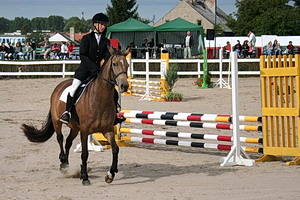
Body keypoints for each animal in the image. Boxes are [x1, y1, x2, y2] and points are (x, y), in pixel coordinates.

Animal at [21, 46, 129, 185]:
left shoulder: (107, 129)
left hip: (74, 127)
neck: (99, 97)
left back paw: (66, 166)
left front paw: (110, 175)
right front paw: (85, 177)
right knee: (60, 139)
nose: (124, 86)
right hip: (57, 122)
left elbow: (115, 149)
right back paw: (63, 163)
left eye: (127, 64)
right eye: (114, 64)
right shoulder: (84, 130)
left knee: (68, 142)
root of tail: (59, 86)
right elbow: (85, 153)